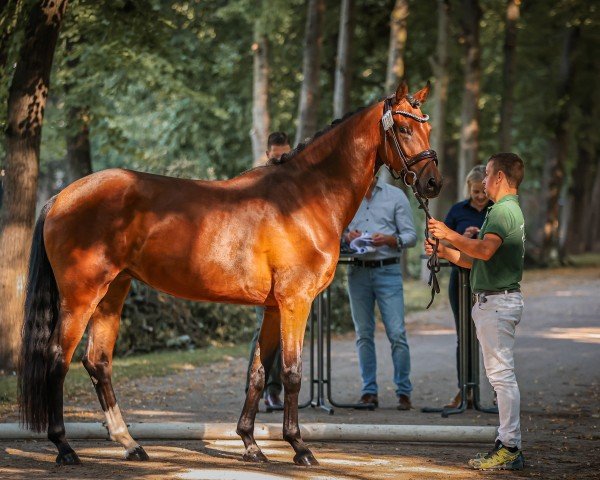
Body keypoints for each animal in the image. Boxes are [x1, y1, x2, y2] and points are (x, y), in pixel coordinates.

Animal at [19, 81, 440, 464]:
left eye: (428, 128)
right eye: (404, 129)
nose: (433, 183)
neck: (305, 197)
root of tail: (61, 196)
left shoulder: (273, 308)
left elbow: (258, 372)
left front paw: (251, 444)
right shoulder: (295, 302)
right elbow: (291, 372)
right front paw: (299, 447)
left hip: (113, 292)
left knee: (98, 361)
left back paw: (130, 444)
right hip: (82, 295)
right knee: (57, 359)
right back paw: (64, 447)